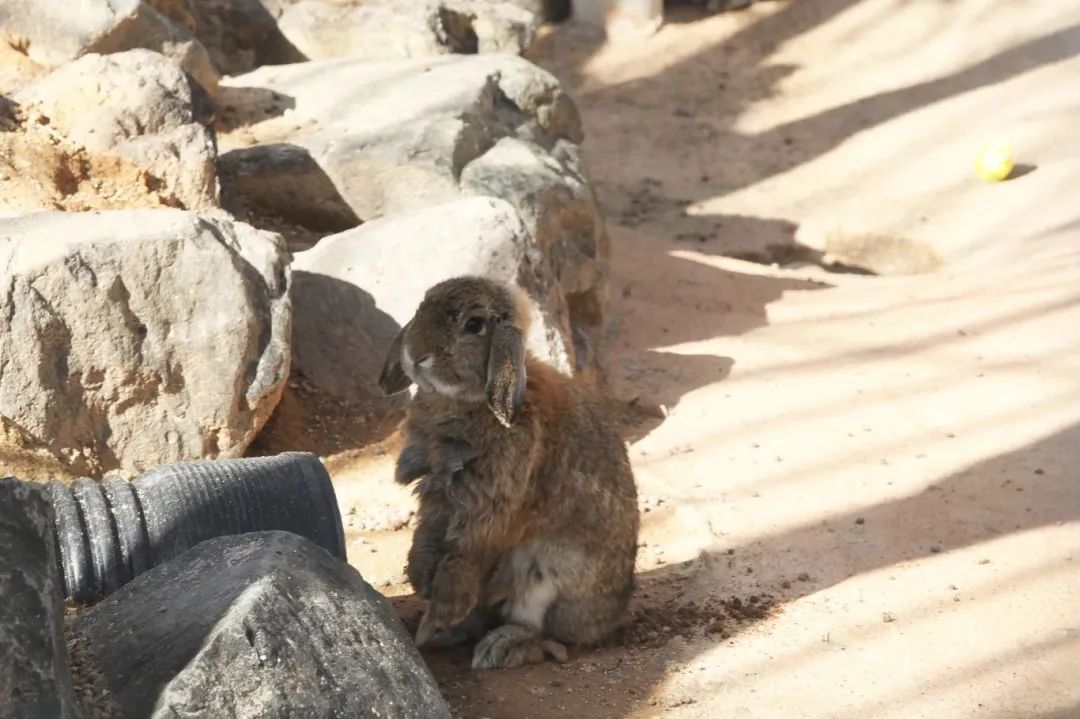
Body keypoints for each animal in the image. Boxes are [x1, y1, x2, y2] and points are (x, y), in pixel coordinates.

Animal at [378, 274, 635, 665]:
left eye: (474, 325)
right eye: (422, 307)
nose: (416, 354)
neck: (468, 402)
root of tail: (611, 616)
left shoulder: (488, 507)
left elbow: (464, 555)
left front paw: (442, 610)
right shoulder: (438, 492)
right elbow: (427, 538)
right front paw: (420, 580)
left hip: (545, 569)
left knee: (542, 629)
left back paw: (498, 646)